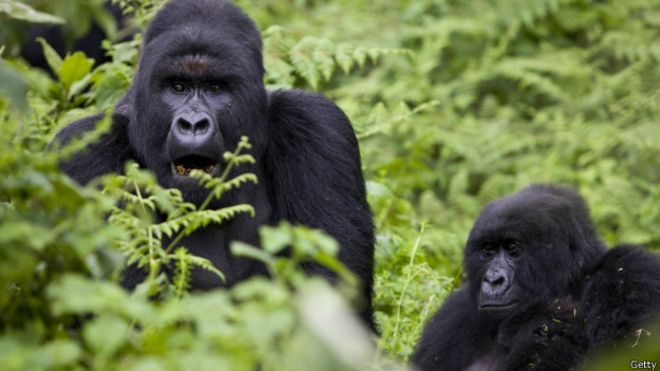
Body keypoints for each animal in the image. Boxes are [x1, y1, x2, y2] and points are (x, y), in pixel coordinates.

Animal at [412, 185, 660, 371]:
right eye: (488, 250)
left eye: (513, 248)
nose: (493, 279)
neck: (569, 284)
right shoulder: (452, 315)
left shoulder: (631, 273)